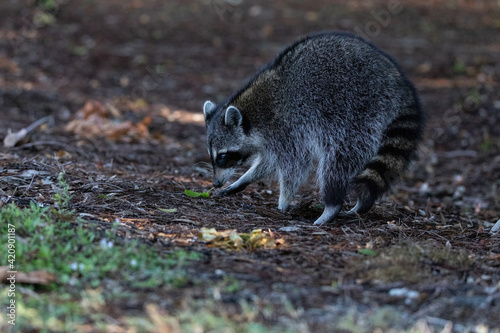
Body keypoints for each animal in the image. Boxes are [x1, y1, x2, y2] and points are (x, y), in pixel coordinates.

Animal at [203, 31, 426, 224]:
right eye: (213, 156)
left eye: (223, 156)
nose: (215, 183)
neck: (251, 115)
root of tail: (398, 82)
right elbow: (268, 162)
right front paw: (242, 180)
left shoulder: (287, 127)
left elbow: (295, 165)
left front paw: (283, 201)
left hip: (360, 113)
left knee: (337, 161)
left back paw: (332, 206)